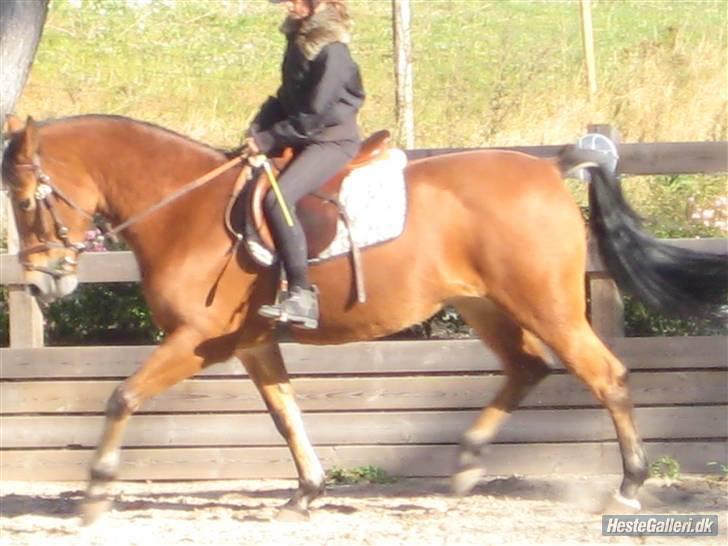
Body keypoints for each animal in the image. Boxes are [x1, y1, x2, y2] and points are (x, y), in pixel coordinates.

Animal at [2, 114, 725, 525]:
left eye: (30, 197)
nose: (42, 279)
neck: (187, 210)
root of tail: (550, 168)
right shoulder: (252, 342)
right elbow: (286, 414)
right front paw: (307, 492)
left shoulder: (199, 340)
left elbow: (122, 396)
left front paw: (96, 491)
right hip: (486, 305)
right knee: (527, 368)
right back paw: (466, 464)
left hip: (546, 306)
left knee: (607, 376)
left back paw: (628, 486)